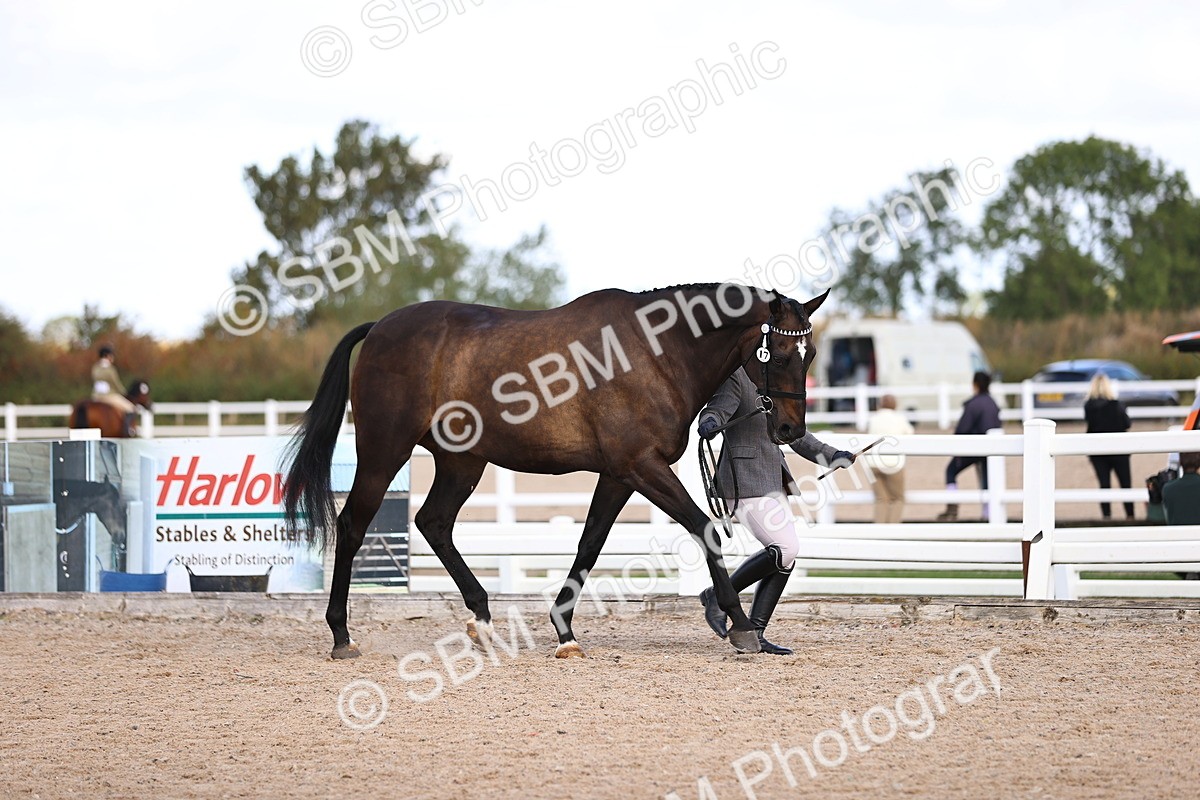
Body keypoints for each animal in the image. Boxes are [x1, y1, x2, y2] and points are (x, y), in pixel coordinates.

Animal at [282, 283, 829, 659]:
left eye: (812, 355)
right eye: (780, 353)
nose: (788, 429)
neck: (656, 352)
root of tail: (379, 327)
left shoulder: (619, 475)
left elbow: (589, 544)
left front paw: (564, 632)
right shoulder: (641, 466)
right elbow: (705, 529)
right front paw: (740, 626)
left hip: (462, 461)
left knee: (433, 523)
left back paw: (482, 619)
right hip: (384, 450)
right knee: (354, 524)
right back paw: (341, 635)